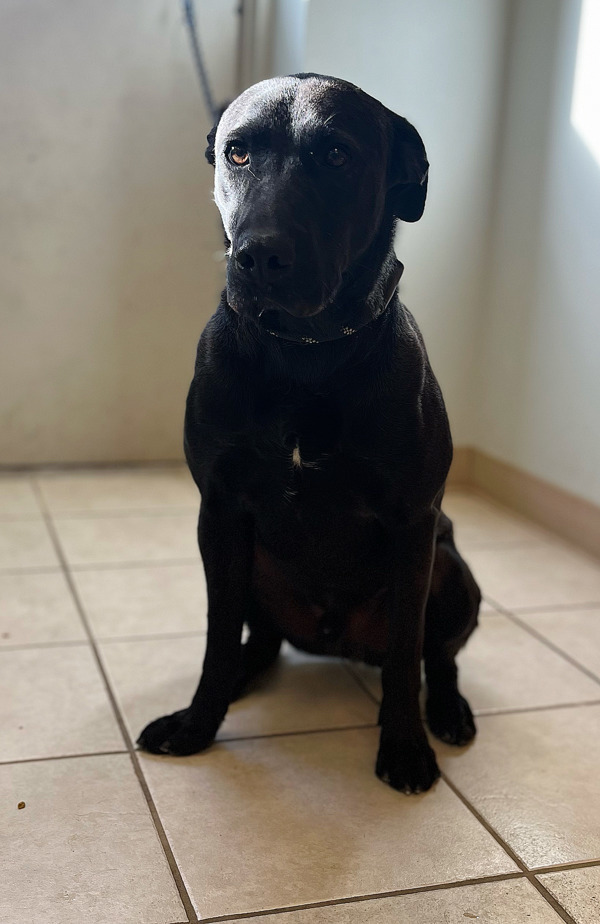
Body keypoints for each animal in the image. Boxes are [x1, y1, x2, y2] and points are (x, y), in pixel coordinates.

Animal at [138, 74, 480, 796]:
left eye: (338, 156)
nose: (259, 255)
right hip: (250, 569)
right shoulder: (220, 512)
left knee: (438, 655)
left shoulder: (414, 524)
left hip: (451, 570)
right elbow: (215, 638)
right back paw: (240, 679)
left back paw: (447, 710)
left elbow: (407, 654)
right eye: (237, 152)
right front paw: (198, 723)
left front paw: (404, 744)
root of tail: (334, 637)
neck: (305, 355)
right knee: (257, 640)